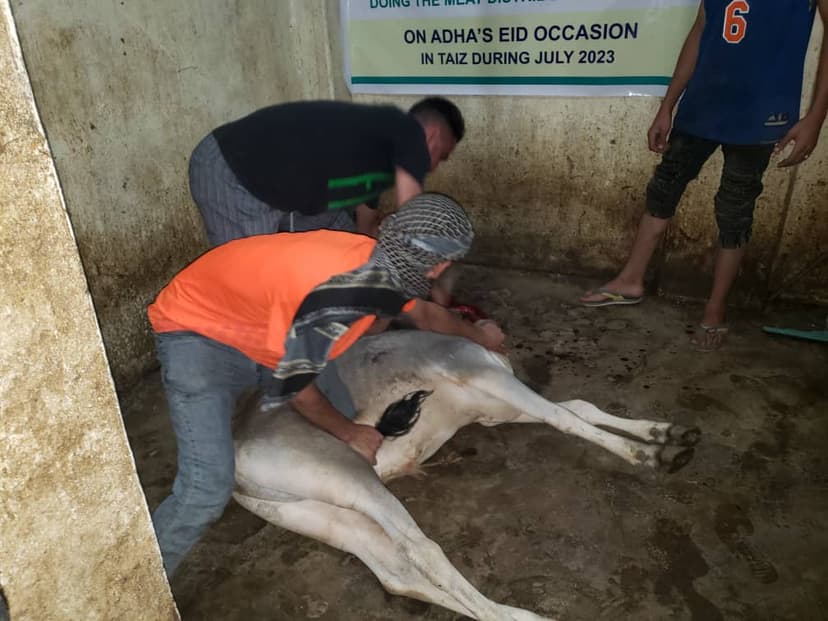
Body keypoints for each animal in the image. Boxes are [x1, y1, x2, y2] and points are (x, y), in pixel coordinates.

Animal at [231, 326, 700, 616]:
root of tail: (235, 451)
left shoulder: (495, 411)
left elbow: (576, 408)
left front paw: (668, 435)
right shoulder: (487, 378)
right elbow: (566, 418)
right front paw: (646, 454)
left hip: (323, 514)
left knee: (398, 576)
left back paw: (527, 617)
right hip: (347, 473)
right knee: (423, 551)